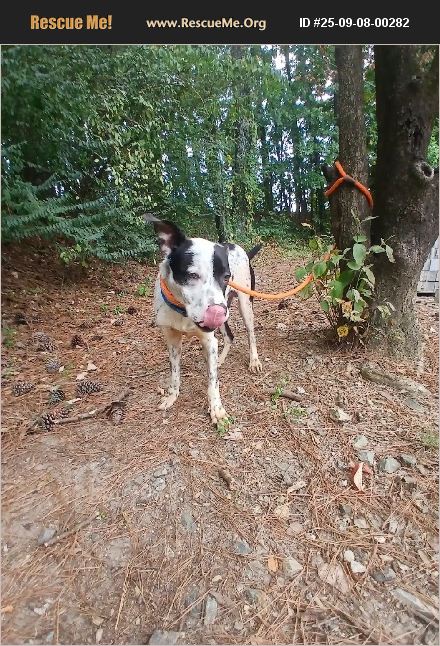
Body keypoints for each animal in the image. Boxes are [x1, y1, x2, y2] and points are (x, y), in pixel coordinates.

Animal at [145, 214, 262, 423]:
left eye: (226, 276)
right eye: (192, 275)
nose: (217, 312)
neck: (182, 311)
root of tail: (237, 247)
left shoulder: (209, 339)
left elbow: (212, 380)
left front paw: (216, 408)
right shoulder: (172, 340)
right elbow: (174, 372)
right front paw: (172, 396)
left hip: (244, 305)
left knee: (250, 334)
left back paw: (254, 361)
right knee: (229, 335)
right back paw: (221, 358)